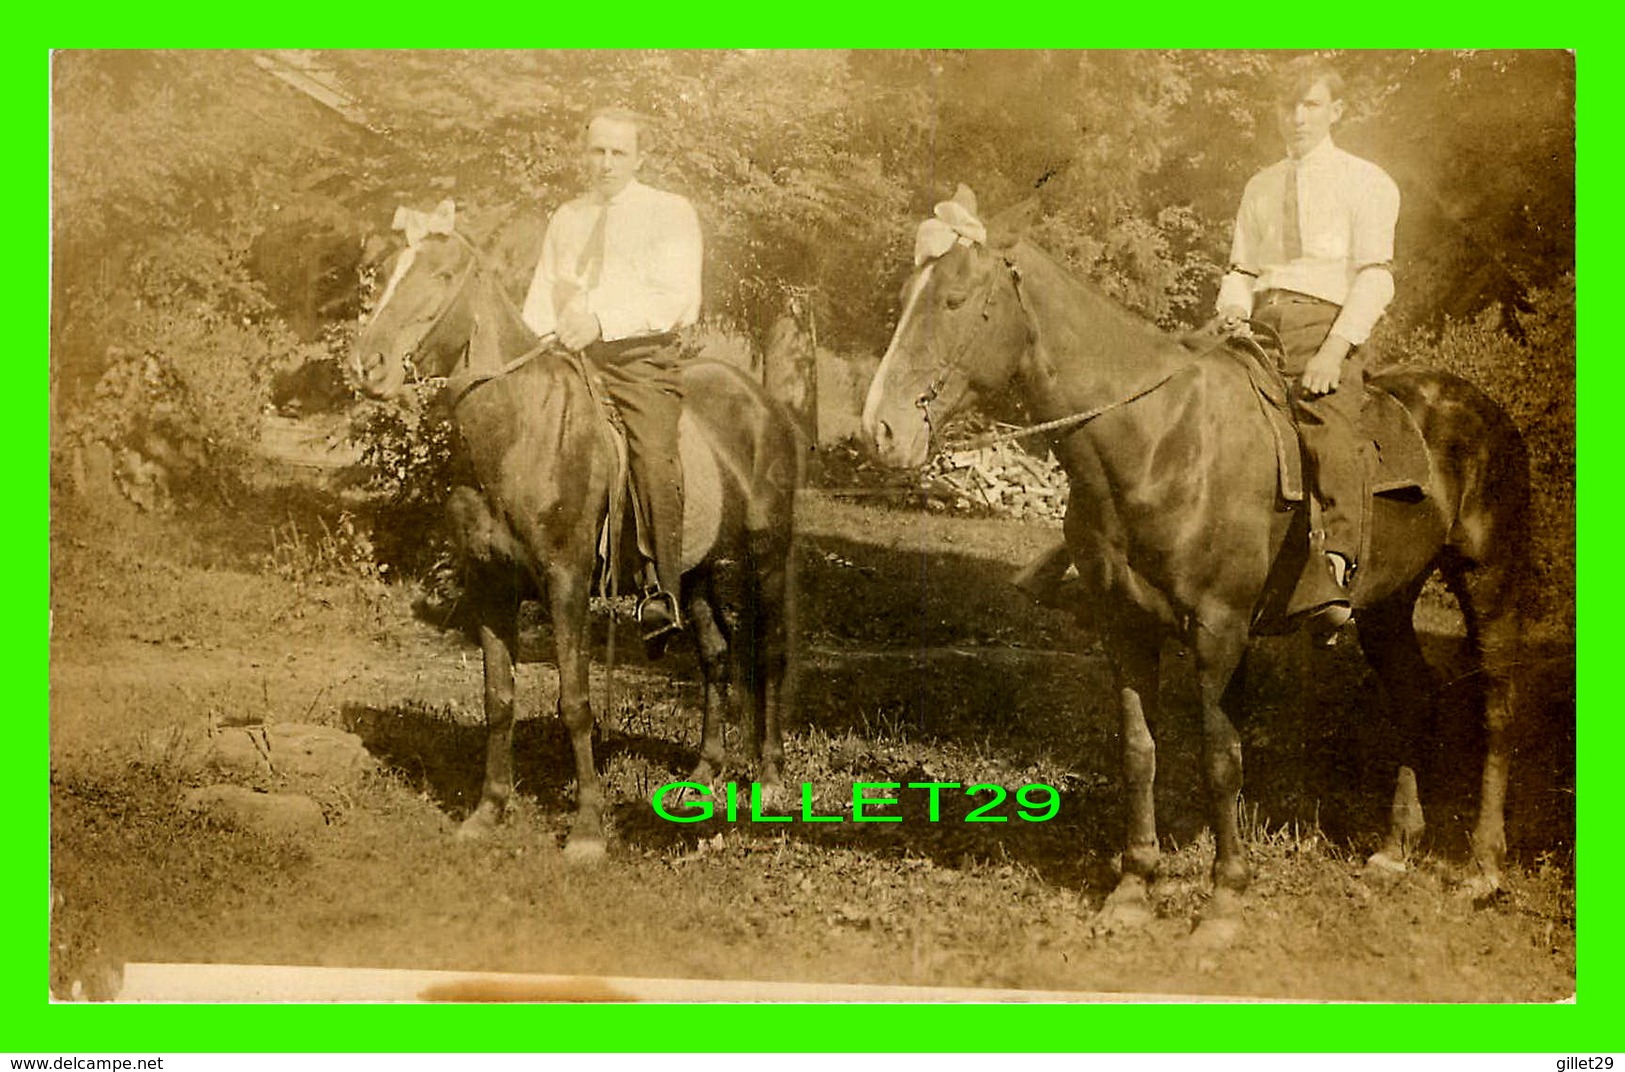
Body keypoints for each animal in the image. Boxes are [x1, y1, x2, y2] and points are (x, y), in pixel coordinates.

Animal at [347, 207, 799, 864]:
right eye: (383, 268)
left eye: (444, 273)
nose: (368, 365)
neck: (520, 431)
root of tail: (764, 402)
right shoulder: (490, 584)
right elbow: (499, 697)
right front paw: (488, 811)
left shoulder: (566, 583)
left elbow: (576, 702)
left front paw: (587, 829)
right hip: (690, 573)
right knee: (716, 654)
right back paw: (703, 774)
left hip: (767, 557)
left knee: (768, 655)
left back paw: (768, 776)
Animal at [858, 194, 1527, 948]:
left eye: (953, 299)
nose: (880, 430)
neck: (1160, 439)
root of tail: (1481, 409)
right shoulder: (1122, 627)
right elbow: (1138, 751)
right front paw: (1132, 888)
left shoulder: (1219, 631)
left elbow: (1219, 758)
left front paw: (1225, 899)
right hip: (1386, 603)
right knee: (1415, 694)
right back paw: (1393, 850)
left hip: (1489, 580)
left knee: (1496, 711)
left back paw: (1482, 867)